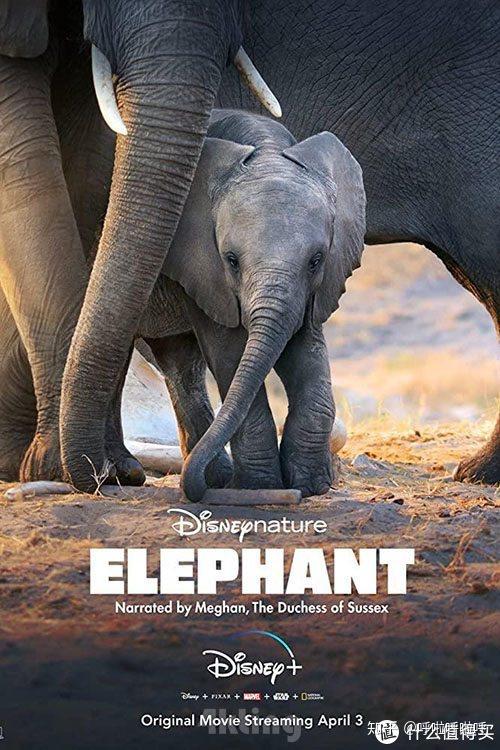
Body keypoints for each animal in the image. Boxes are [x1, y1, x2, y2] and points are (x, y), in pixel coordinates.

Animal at [135, 109, 365, 500]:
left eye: (316, 260)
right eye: (231, 260)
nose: (193, 489)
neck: (266, 149)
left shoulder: (314, 289)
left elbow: (305, 350)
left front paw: (311, 486)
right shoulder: (202, 265)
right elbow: (230, 351)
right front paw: (260, 487)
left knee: (179, 363)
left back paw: (215, 478)